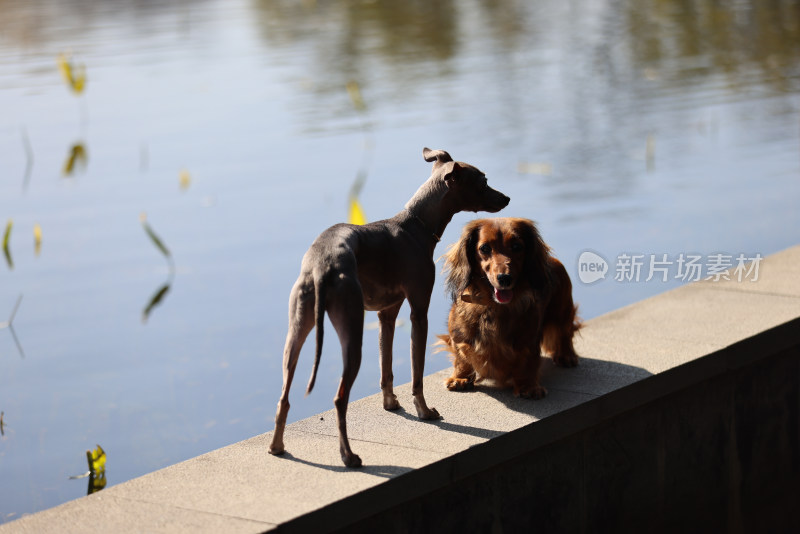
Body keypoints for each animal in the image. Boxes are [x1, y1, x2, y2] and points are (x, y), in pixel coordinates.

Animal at [268, 148, 506, 468]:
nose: (506, 199)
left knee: (284, 397)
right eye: (483, 182)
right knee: (339, 398)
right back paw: (348, 456)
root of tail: (321, 265)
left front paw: (391, 403)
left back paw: (277, 447)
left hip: (296, 334)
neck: (415, 226)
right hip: (352, 333)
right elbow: (416, 374)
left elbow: (387, 367)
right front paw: (424, 411)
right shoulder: (418, 313)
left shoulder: (386, 315)